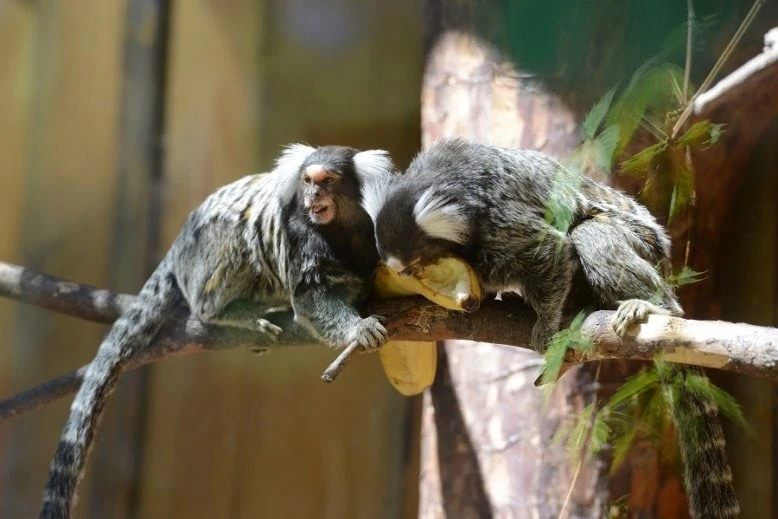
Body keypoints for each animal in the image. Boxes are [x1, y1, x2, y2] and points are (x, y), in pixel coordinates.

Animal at [41, 143, 394, 519]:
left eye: (327, 181)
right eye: (307, 181)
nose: (313, 195)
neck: (341, 230)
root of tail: (178, 247)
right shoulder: (299, 232)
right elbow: (311, 298)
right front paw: (357, 329)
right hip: (207, 254)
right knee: (231, 243)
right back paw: (227, 311)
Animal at [366, 137, 736, 519]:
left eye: (413, 263)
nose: (401, 272)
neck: (450, 184)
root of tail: (664, 260)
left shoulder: (499, 220)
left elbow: (550, 249)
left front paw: (544, 323)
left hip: (644, 245)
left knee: (591, 234)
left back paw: (650, 304)